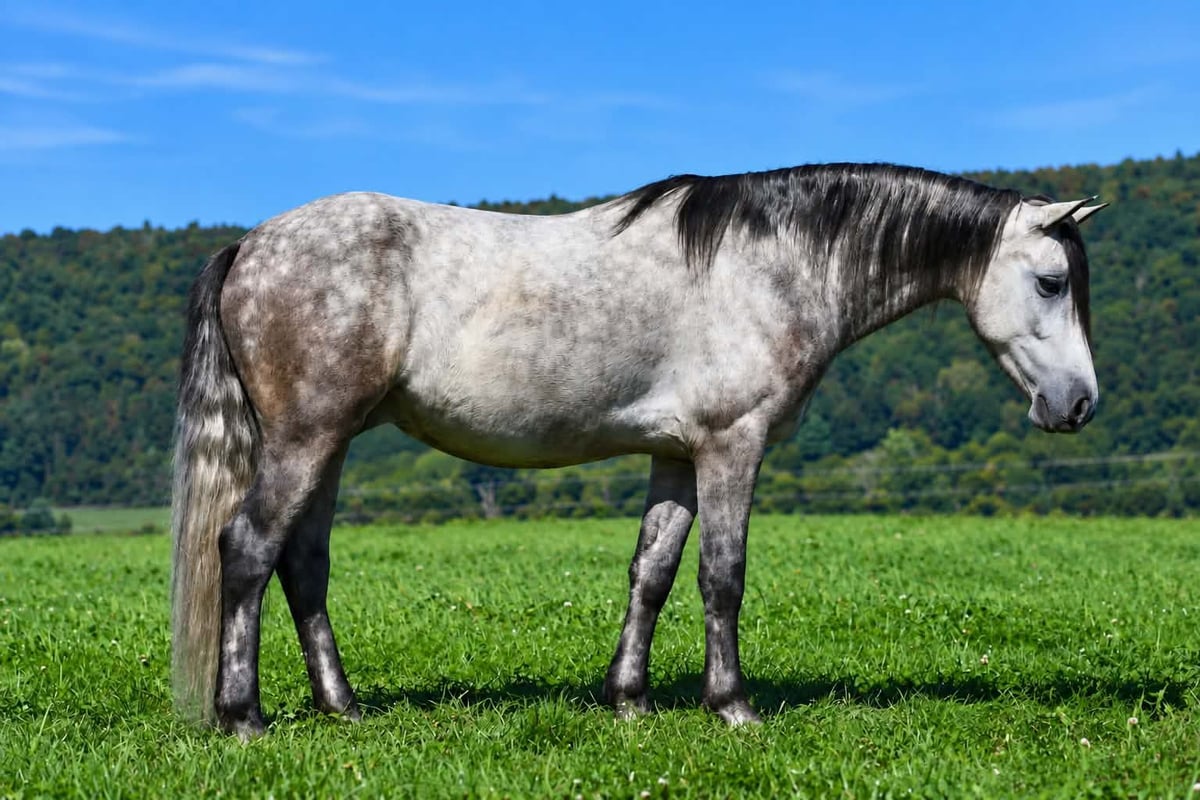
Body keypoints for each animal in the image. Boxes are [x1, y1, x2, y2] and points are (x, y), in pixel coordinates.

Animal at [171, 162, 1106, 737]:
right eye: (1051, 282)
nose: (1079, 404)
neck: (772, 264)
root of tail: (251, 244)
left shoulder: (678, 456)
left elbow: (651, 571)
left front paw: (628, 701)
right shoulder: (732, 445)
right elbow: (722, 575)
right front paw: (732, 707)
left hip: (327, 445)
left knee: (303, 565)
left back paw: (343, 708)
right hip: (305, 439)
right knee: (247, 550)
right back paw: (244, 716)